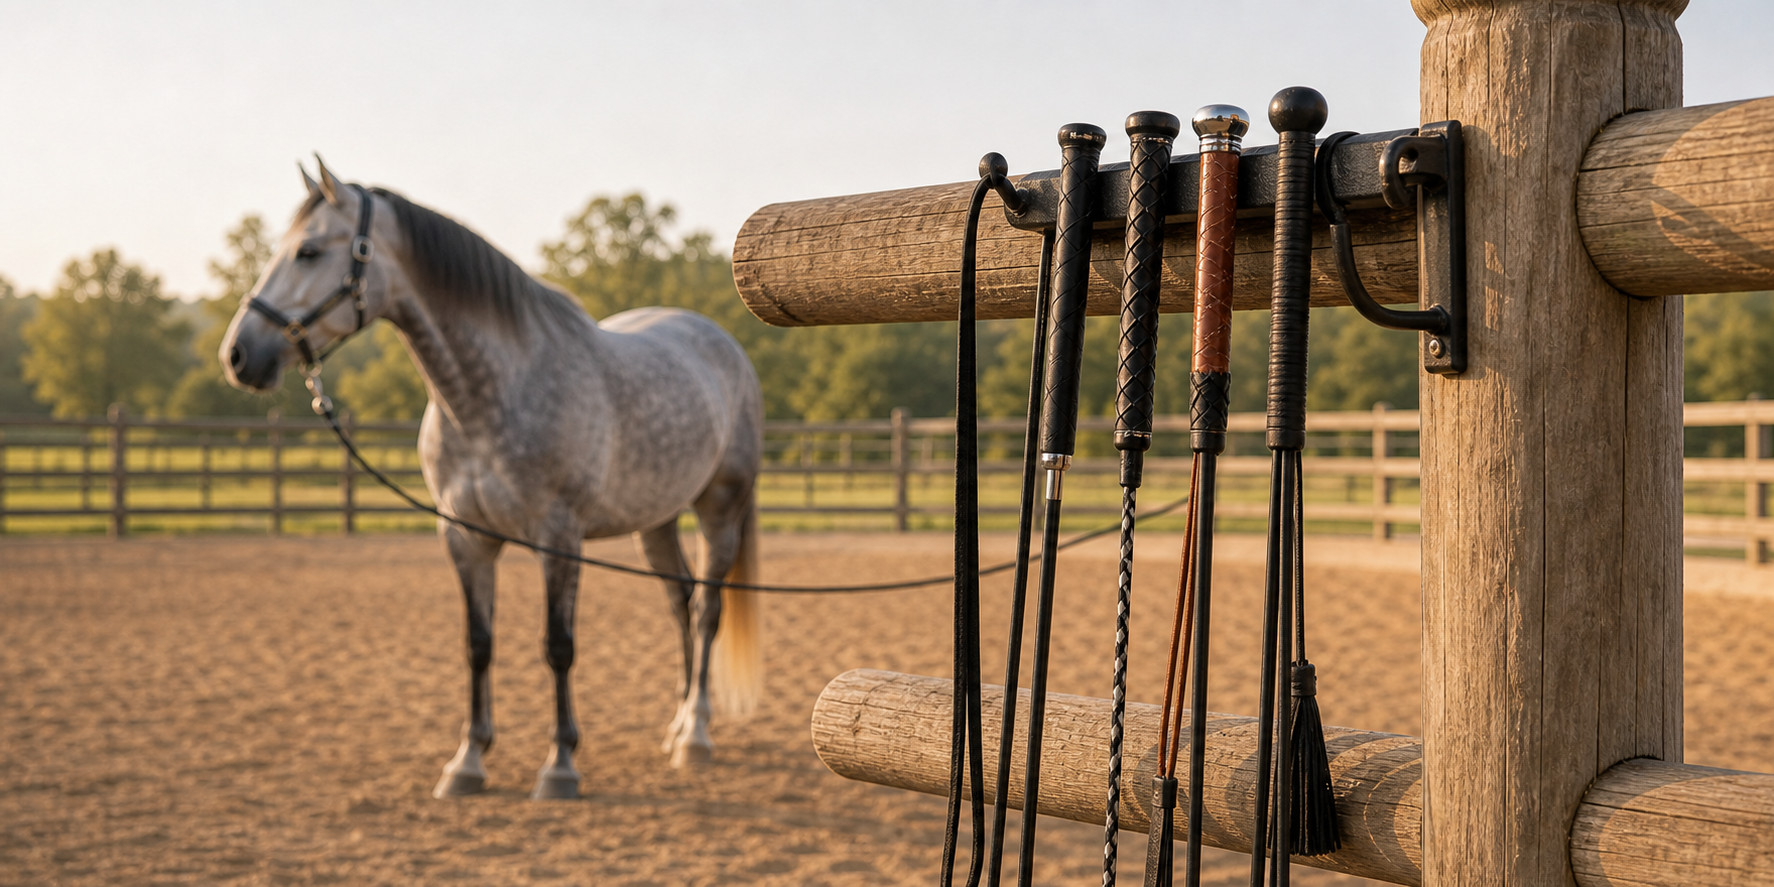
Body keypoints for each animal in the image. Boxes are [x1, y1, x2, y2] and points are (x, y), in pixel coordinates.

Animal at [220, 160, 765, 800]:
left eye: (307, 251)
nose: (238, 355)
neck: (490, 397)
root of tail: (723, 344)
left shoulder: (559, 539)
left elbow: (558, 647)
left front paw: (560, 764)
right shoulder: (465, 539)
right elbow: (477, 645)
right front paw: (468, 761)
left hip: (719, 509)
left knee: (707, 610)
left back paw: (696, 735)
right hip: (656, 519)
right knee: (679, 604)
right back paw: (677, 726)